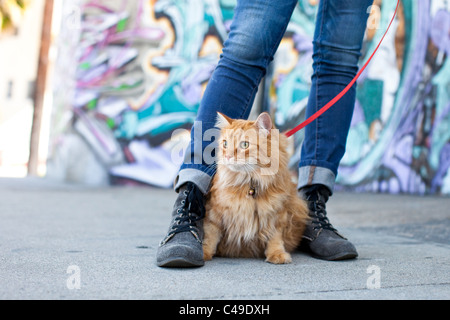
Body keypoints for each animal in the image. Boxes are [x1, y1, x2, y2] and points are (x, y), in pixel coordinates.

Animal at [204, 111, 310, 264]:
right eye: (225, 144)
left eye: (244, 144)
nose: (228, 156)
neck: (250, 182)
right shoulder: (214, 213)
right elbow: (210, 236)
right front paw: (203, 252)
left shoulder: (277, 214)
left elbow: (275, 238)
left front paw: (277, 254)